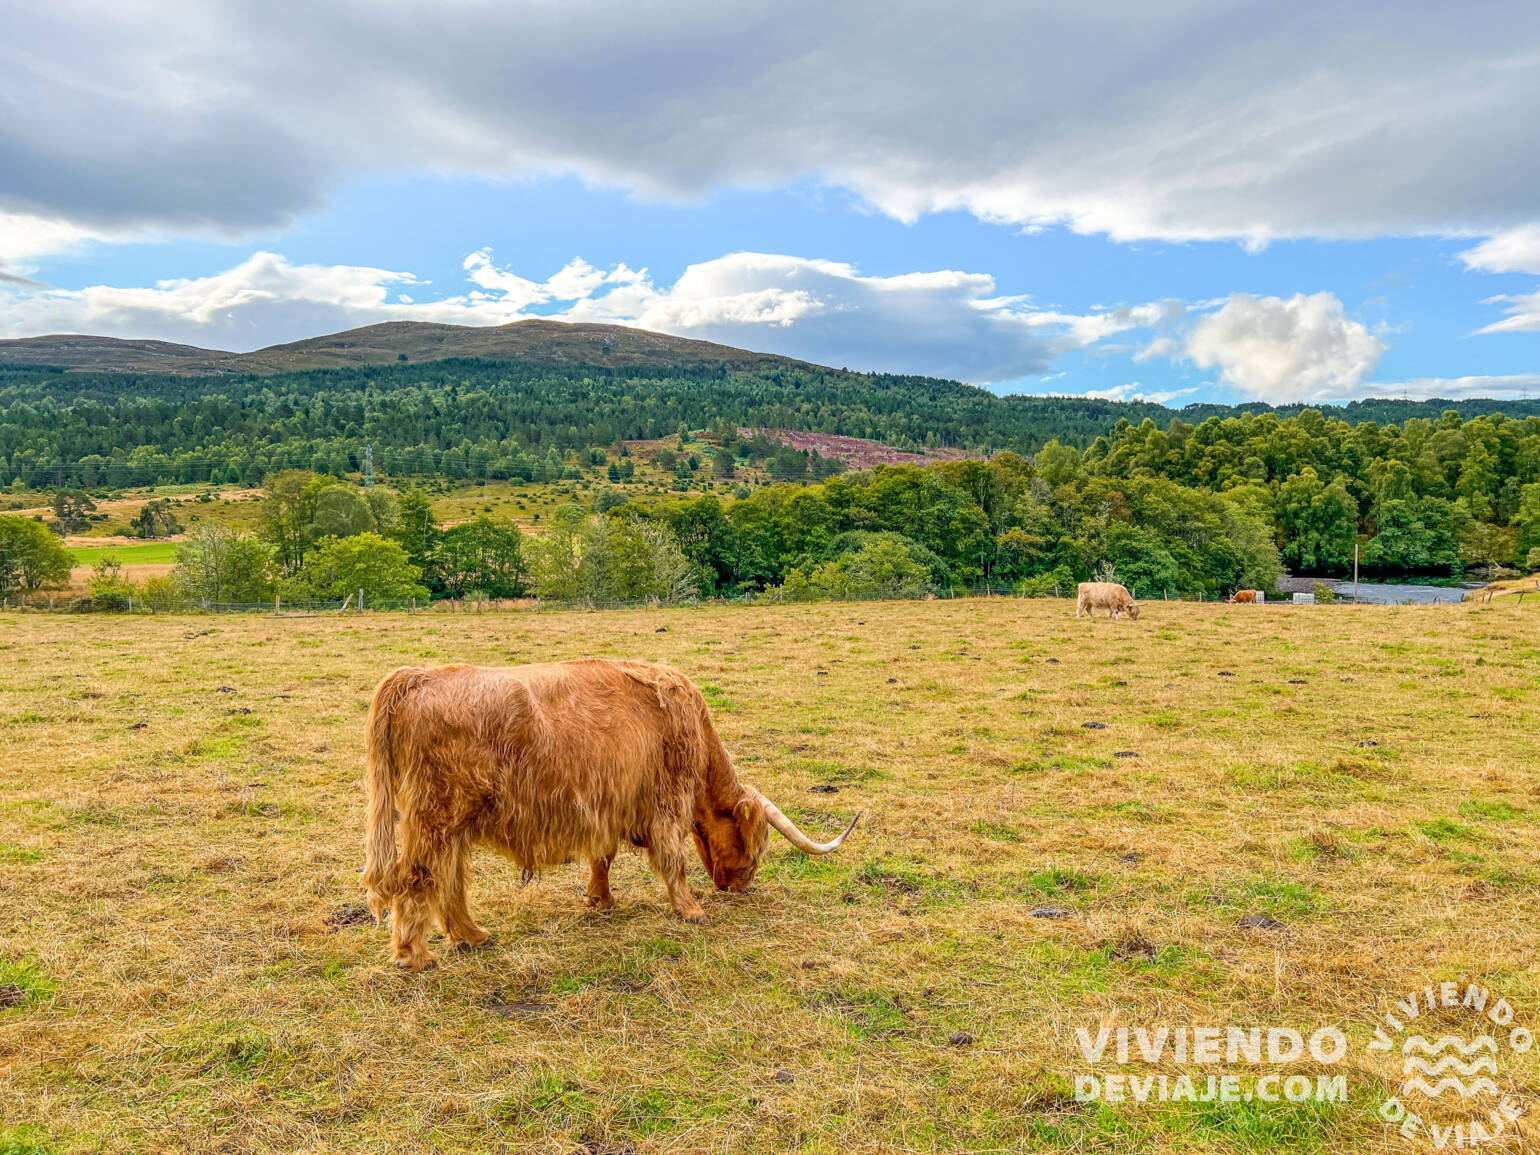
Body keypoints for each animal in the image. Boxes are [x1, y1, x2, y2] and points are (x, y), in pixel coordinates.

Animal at [360, 659, 859, 970]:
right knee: (417, 876)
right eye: (755, 850)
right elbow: (673, 860)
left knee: (448, 879)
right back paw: (414, 955)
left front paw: (599, 899)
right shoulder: (664, 802)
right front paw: (691, 910)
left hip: (452, 824)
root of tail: (414, 677)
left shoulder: (607, 808)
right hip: (436, 816)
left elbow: (603, 856)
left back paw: (471, 935)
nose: (739, 886)